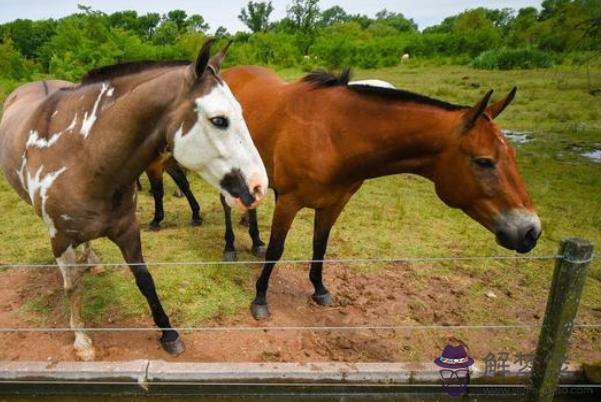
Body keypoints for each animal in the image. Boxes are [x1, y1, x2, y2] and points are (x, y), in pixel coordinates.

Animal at [0, 40, 268, 360]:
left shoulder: (128, 230)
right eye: (219, 120)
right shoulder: (60, 239)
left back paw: (92, 260)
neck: (83, 156)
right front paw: (82, 341)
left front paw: (168, 333)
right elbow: (72, 287)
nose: (259, 186)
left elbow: (145, 280)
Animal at [218, 66, 540, 320]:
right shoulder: (289, 201)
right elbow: (277, 250)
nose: (530, 231)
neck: (332, 134)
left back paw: (255, 240)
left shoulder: (334, 203)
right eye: (484, 161)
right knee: (227, 205)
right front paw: (260, 298)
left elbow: (320, 247)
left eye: (512, 154)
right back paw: (230, 247)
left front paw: (319, 289)